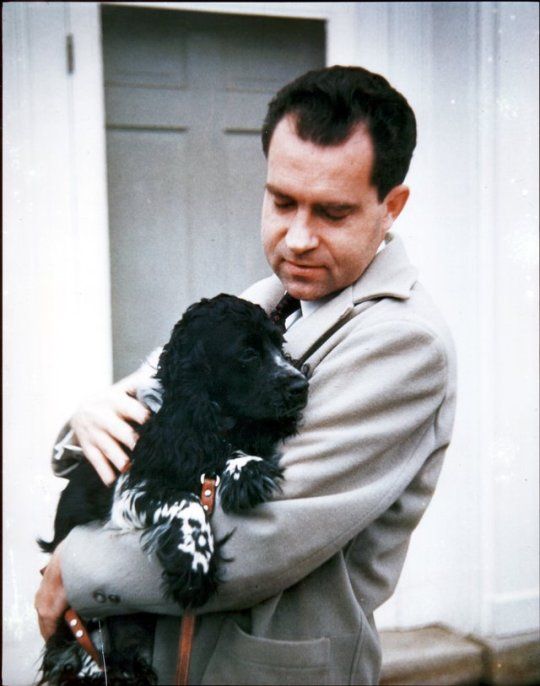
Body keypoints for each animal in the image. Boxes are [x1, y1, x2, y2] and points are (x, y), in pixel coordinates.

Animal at [38, 296, 308, 686]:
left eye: (279, 343)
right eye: (247, 354)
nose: (301, 384)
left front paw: (245, 469)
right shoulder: (130, 490)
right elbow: (186, 500)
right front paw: (195, 564)